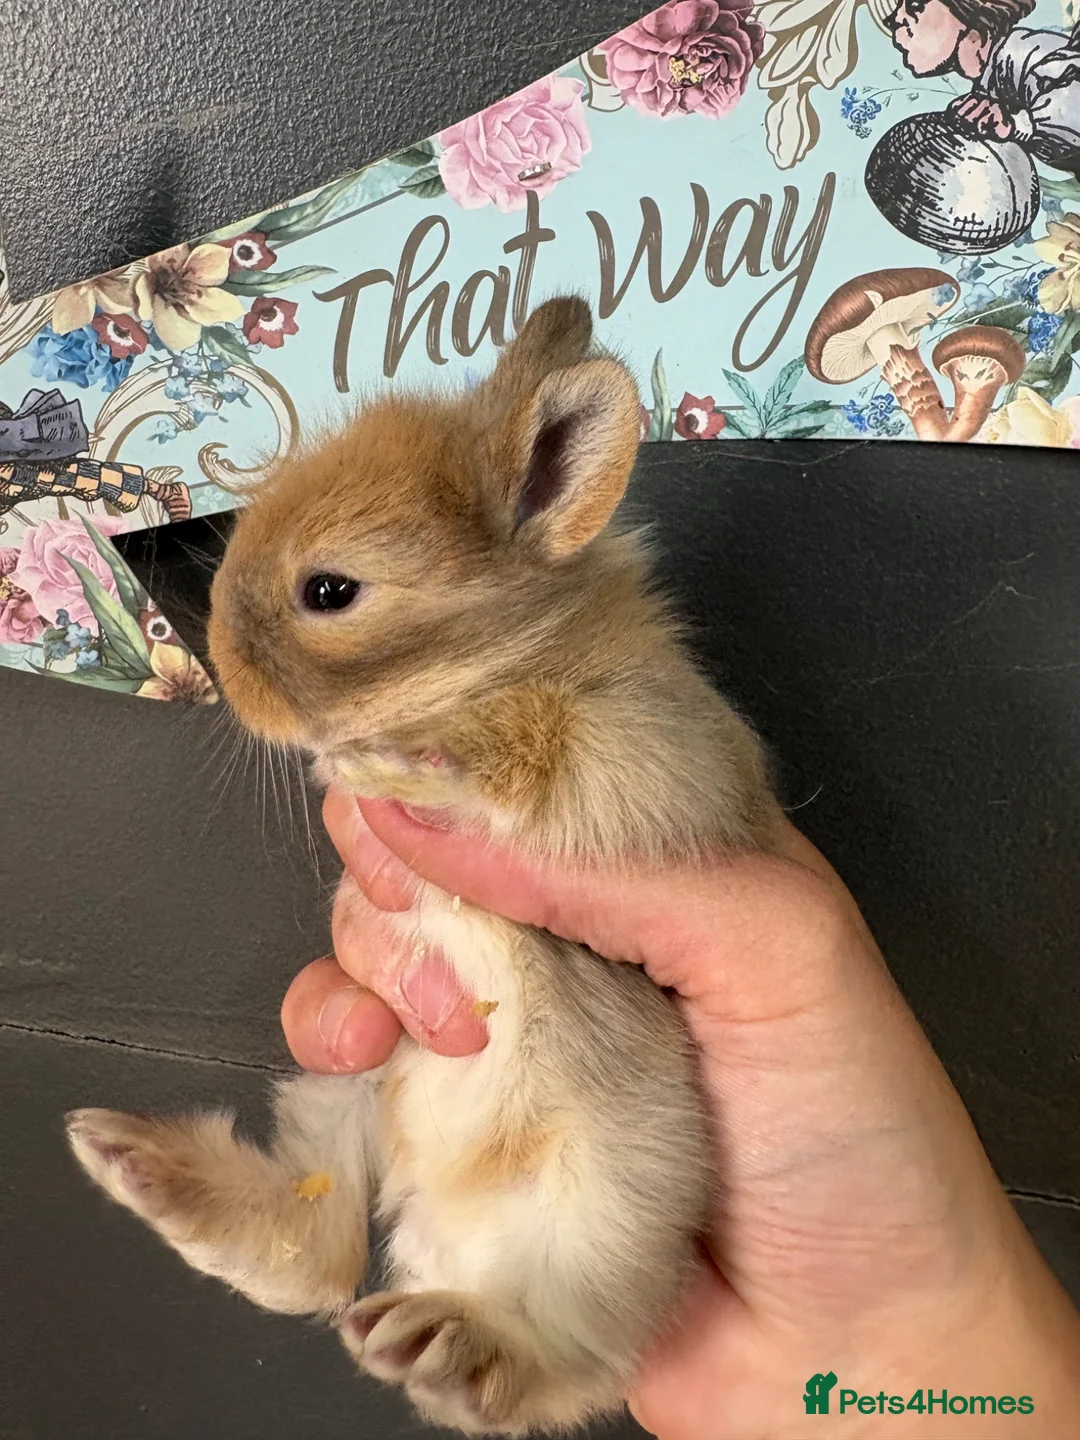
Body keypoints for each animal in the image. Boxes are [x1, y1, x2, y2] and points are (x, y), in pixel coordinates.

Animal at [66, 296, 782, 1436]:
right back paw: (130, 1159)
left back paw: (450, 1347)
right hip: (352, 1089)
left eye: (329, 590)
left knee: (563, 1363)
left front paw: (390, 763)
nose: (222, 662)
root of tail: (443, 1227)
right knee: (318, 1245)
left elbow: (523, 760)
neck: (494, 663)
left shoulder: (645, 758)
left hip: (613, 1206)